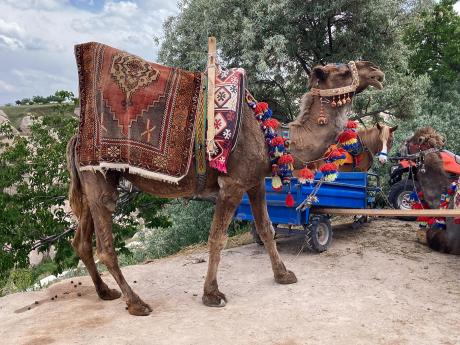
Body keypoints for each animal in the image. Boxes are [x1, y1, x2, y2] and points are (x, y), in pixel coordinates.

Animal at [67, 59, 384, 314]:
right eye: (342, 71)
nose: (375, 70)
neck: (272, 137)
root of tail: (75, 139)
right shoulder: (232, 185)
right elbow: (217, 238)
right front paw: (212, 295)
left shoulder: (254, 183)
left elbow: (266, 230)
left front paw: (283, 275)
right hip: (100, 179)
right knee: (105, 245)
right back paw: (137, 303)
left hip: (90, 183)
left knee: (81, 241)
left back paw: (105, 292)